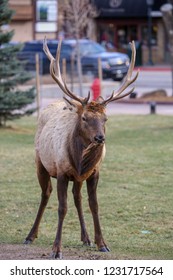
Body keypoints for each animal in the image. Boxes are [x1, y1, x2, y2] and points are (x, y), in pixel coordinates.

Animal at [24, 38, 139, 258]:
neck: (79, 161)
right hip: (39, 162)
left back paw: (85, 238)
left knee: (77, 198)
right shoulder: (61, 171)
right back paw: (30, 236)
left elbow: (94, 205)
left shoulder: (93, 172)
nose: (100, 138)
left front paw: (102, 243)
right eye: (85, 118)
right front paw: (56, 249)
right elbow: (62, 208)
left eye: (105, 118)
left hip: (76, 179)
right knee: (45, 194)